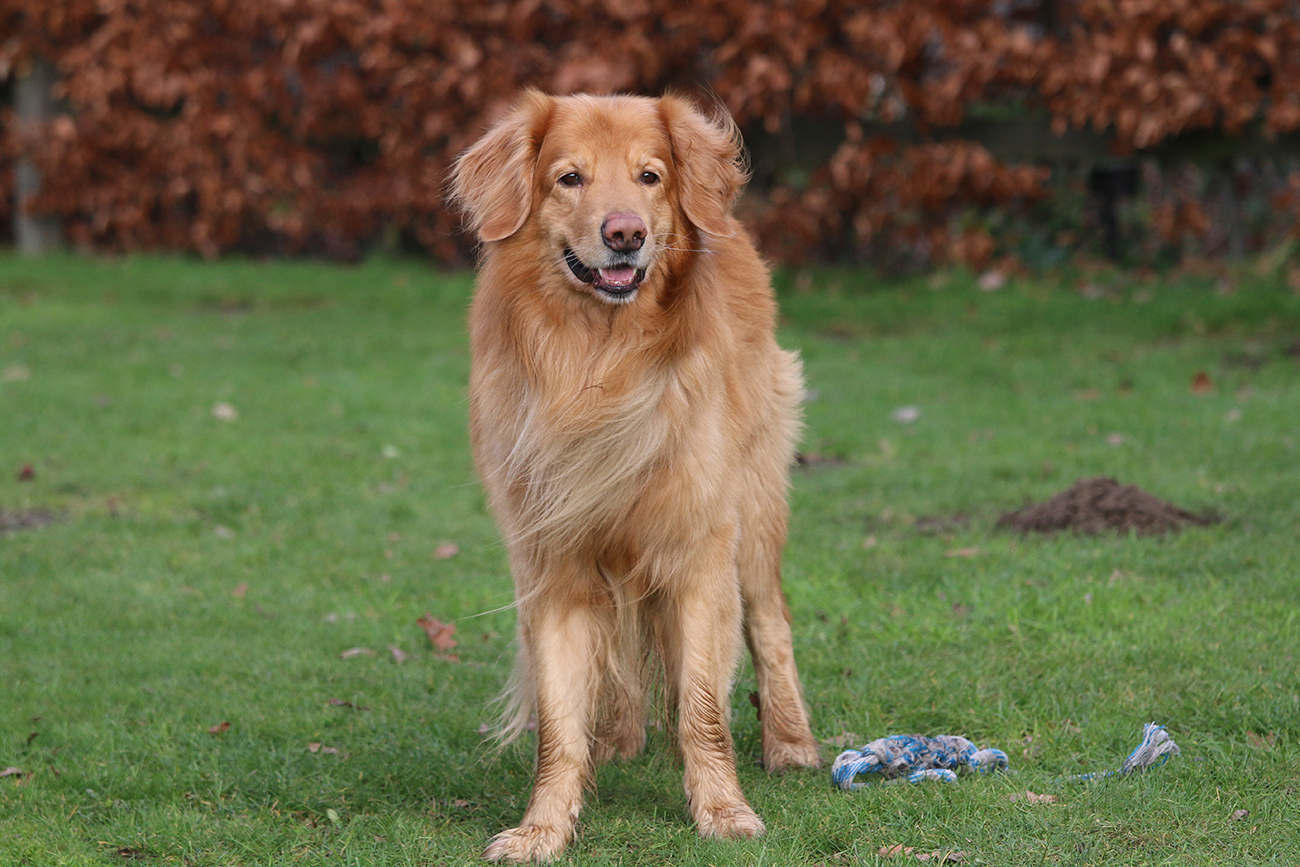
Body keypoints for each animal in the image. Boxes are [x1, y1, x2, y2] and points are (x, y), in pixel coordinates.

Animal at [450, 91, 820, 864]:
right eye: (569, 178)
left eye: (651, 176)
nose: (625, 233)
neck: (600, 359)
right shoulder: (553, 563)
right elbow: (560, 719)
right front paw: (544, 827)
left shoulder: (700, 552)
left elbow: (703, 705)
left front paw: (723, 810)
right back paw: (618, 739)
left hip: (754, 511)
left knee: (771, 620)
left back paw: (791, 741)